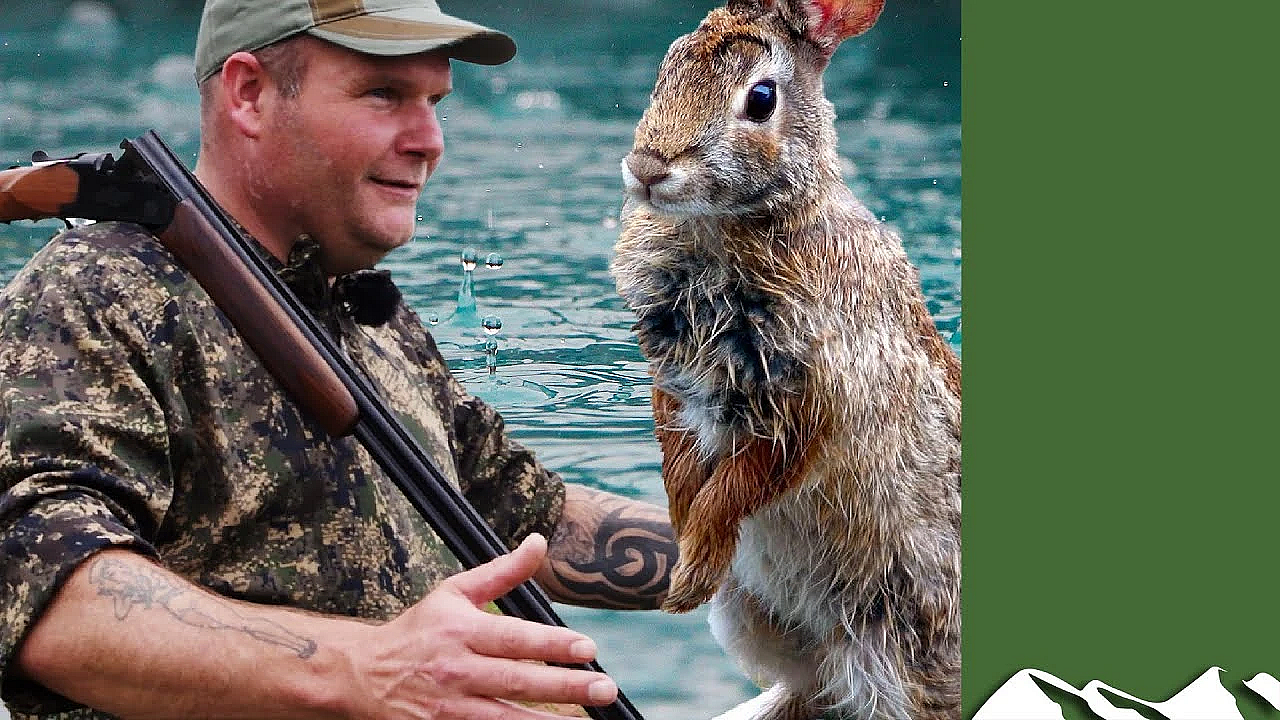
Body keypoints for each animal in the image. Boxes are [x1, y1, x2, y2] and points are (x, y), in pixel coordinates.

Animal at [610, 0, 961, 718]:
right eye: (669, 64)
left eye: (761, 97)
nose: (649, 167)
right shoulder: (674, 388)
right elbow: (681, 469)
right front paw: (685, 568)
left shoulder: (811, 402)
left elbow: (742, 485)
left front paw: (692, 573)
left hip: (891, 642)